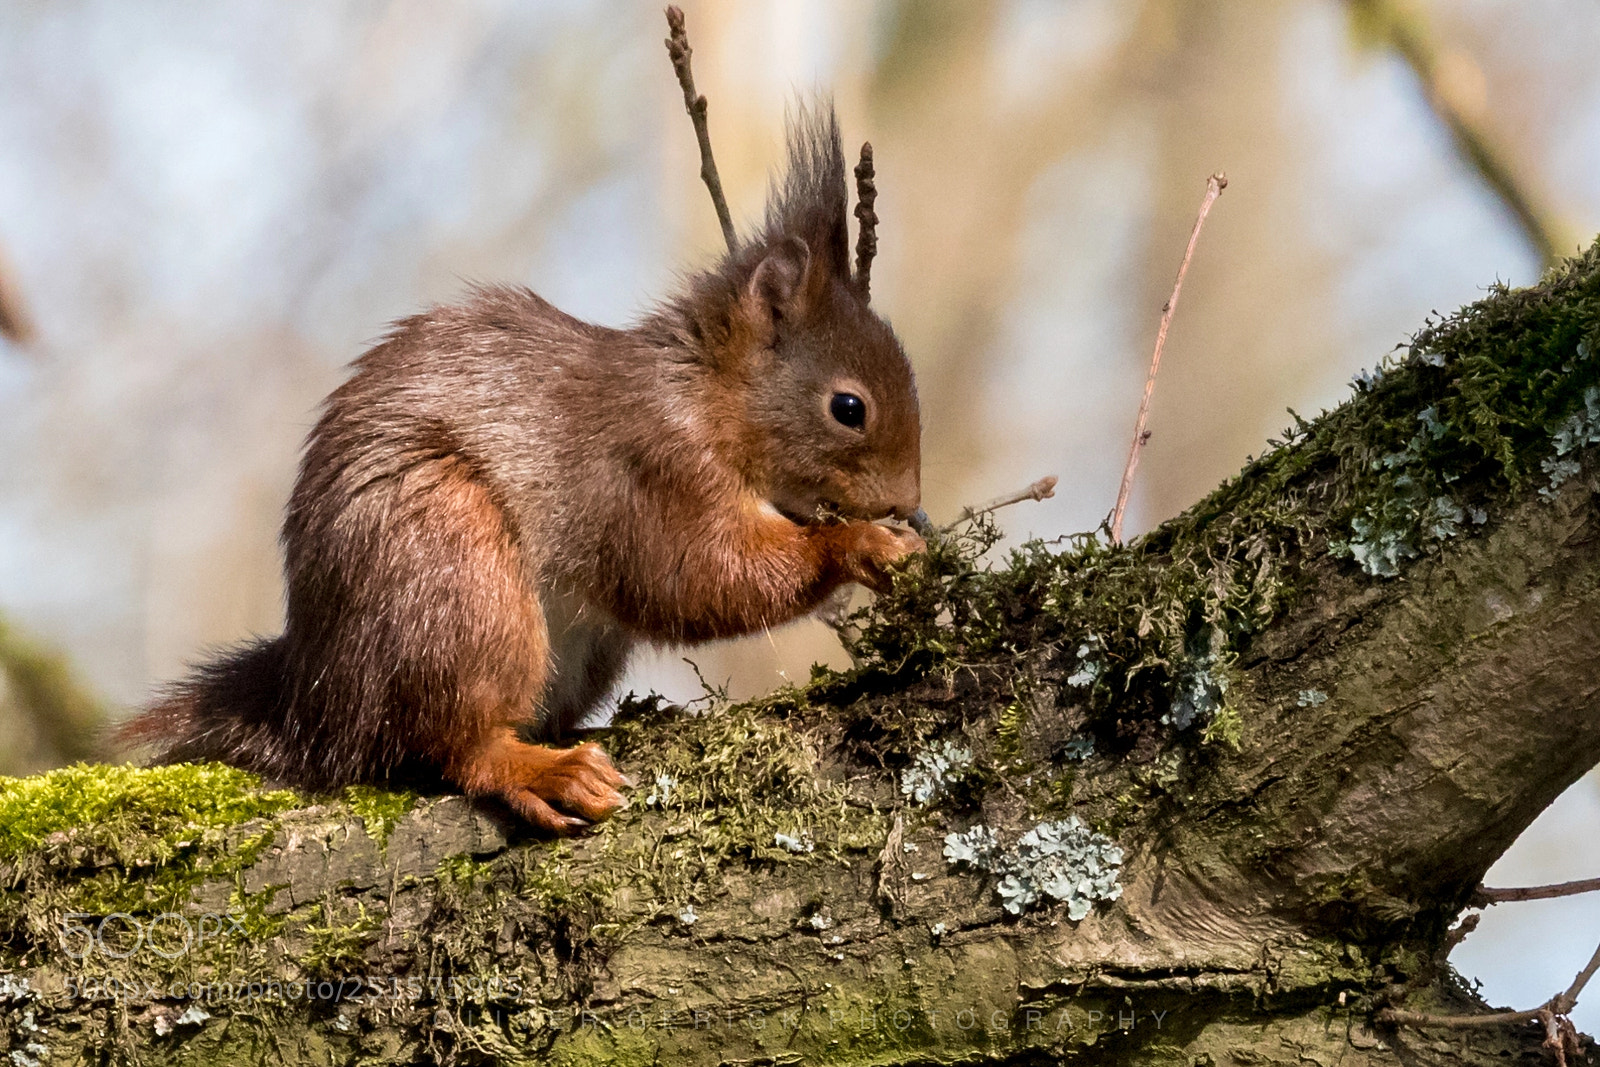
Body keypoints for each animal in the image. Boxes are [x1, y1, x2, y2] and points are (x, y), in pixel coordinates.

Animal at [119, 107, 923, 833]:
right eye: (848, 407)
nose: (912, 503)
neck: (704, 396)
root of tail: (317, 701)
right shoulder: (649, 469)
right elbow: (696, 577)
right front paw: (858, 545)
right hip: (453, 572)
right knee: (451, 743)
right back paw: (541, 769)